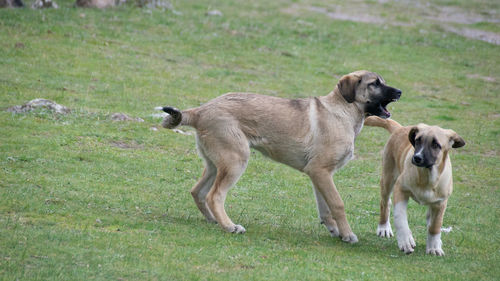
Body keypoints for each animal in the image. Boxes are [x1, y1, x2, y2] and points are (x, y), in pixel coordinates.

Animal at [162, 70, 400, 243]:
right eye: (375, 83)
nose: (399, 92)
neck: (343, 112)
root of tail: (200, 110)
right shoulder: (320, 171)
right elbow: (338, 204)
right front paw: (348, 234)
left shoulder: (320, 174)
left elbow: (326, 208)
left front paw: (335, 230)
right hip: (236, 160)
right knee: (214, 195)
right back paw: (229, 226)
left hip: (215, 163)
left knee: (198, 192)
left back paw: (214, 220)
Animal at [364, 115, 464, 254]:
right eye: (417, 141)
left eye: (436, 145)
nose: (417, 157)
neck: (426, 177)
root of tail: (399, 129)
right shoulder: (400, 189)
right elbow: (400, 218)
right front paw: (406, 241)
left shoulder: (441, 202)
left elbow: (435, 226)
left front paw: (434, 247)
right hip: (387, 179)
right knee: (385, 203)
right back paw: (384, 228)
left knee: (429, 218)